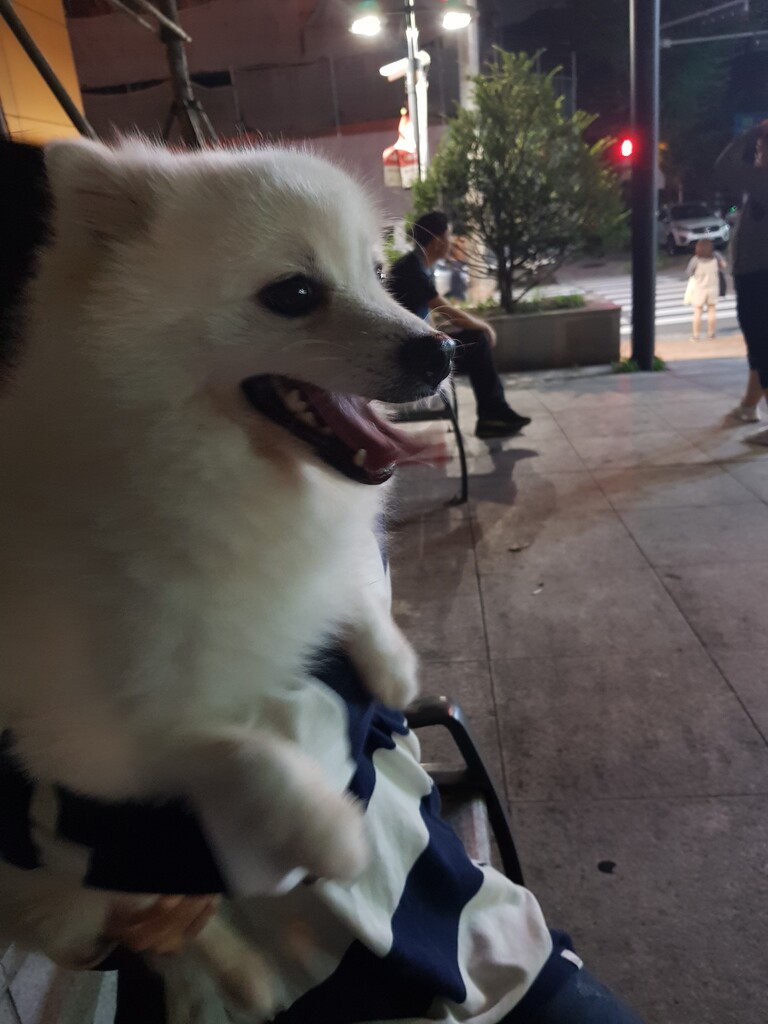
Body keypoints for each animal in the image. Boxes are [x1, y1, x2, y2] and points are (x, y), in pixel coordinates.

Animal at [0, 138, 453, 1019]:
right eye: (295, 294)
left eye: (376, 274)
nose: (441, 350)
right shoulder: (89, 746)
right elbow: (236, 749)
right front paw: (328, 831)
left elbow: (346, 585)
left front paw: (390, 661)